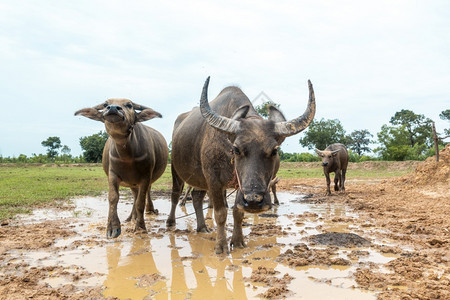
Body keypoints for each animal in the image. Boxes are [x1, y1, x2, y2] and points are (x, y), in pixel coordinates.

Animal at [74, 99, 168, 238]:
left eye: (129, 105)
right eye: (106, 104)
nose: (113, 108)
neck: (127, 156)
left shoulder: (146, 177)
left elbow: (140, 202)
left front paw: (140, 227)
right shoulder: (113, 175)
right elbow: (113, 198)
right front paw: (112, 228)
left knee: (144, 194)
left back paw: (149, 211)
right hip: (131, 183)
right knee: (134, 195)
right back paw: (131, 217)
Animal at [166, 77, 316, 253]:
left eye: (274, 151)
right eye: (236, 149)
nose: (253, 201)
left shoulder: (239, 186)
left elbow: (238, 213)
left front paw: (237, 241)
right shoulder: (214, 180)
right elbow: (220, 214)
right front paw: (221, 246)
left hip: (200, 178)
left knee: (196, 197)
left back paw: (202, 227)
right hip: (176, 170)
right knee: (175, 195)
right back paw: (170, 222)